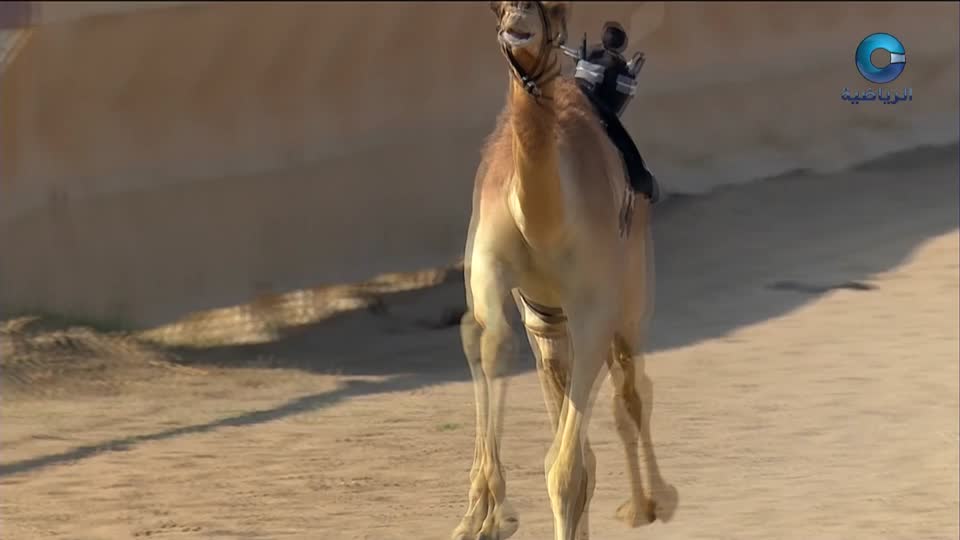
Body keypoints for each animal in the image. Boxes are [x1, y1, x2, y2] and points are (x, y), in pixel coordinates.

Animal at [454, 1, 680, 540]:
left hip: (632, 296)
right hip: (546, 319)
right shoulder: (492, 274)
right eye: (495, 6)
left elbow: (567, 468)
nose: (518, 22)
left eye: (555, 10)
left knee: (630, 390)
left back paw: (650, 504)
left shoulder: (595, 307)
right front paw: (485, 515)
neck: (542, 219)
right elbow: (489, 341)